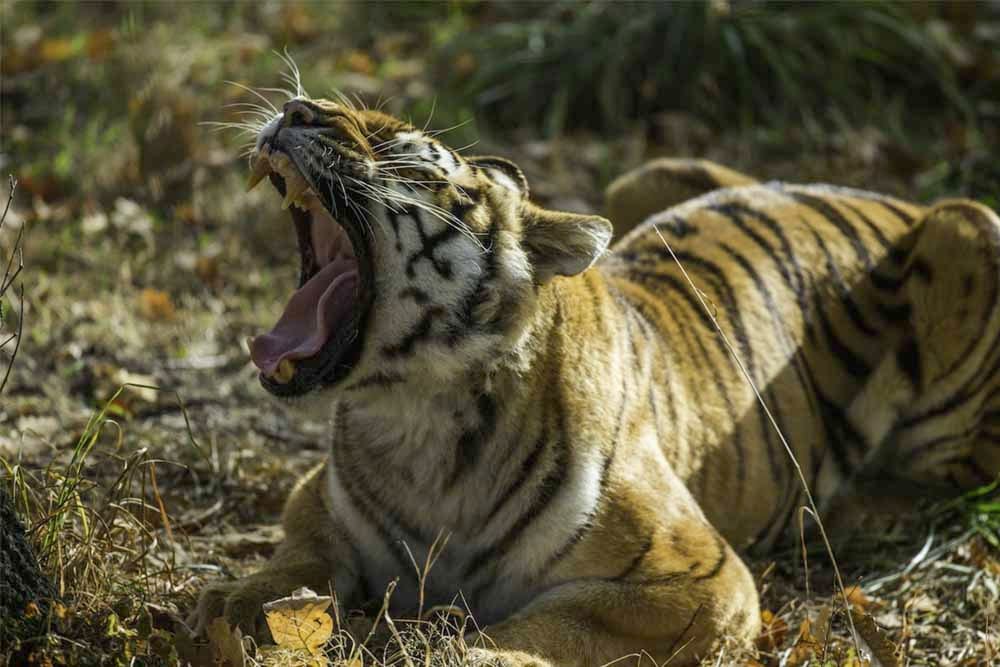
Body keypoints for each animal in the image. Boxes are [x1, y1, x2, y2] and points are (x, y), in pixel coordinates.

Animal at [190, 96, 1000, 666]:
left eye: (402, 156)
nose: (297, 109)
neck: (416, 418)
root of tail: (895, 197)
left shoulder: (703, 578)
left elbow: (560, 623)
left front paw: (466, 651)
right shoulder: (315, 499)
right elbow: (300, 560)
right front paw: (231, 603)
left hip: (969, 228)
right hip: (652, 172)